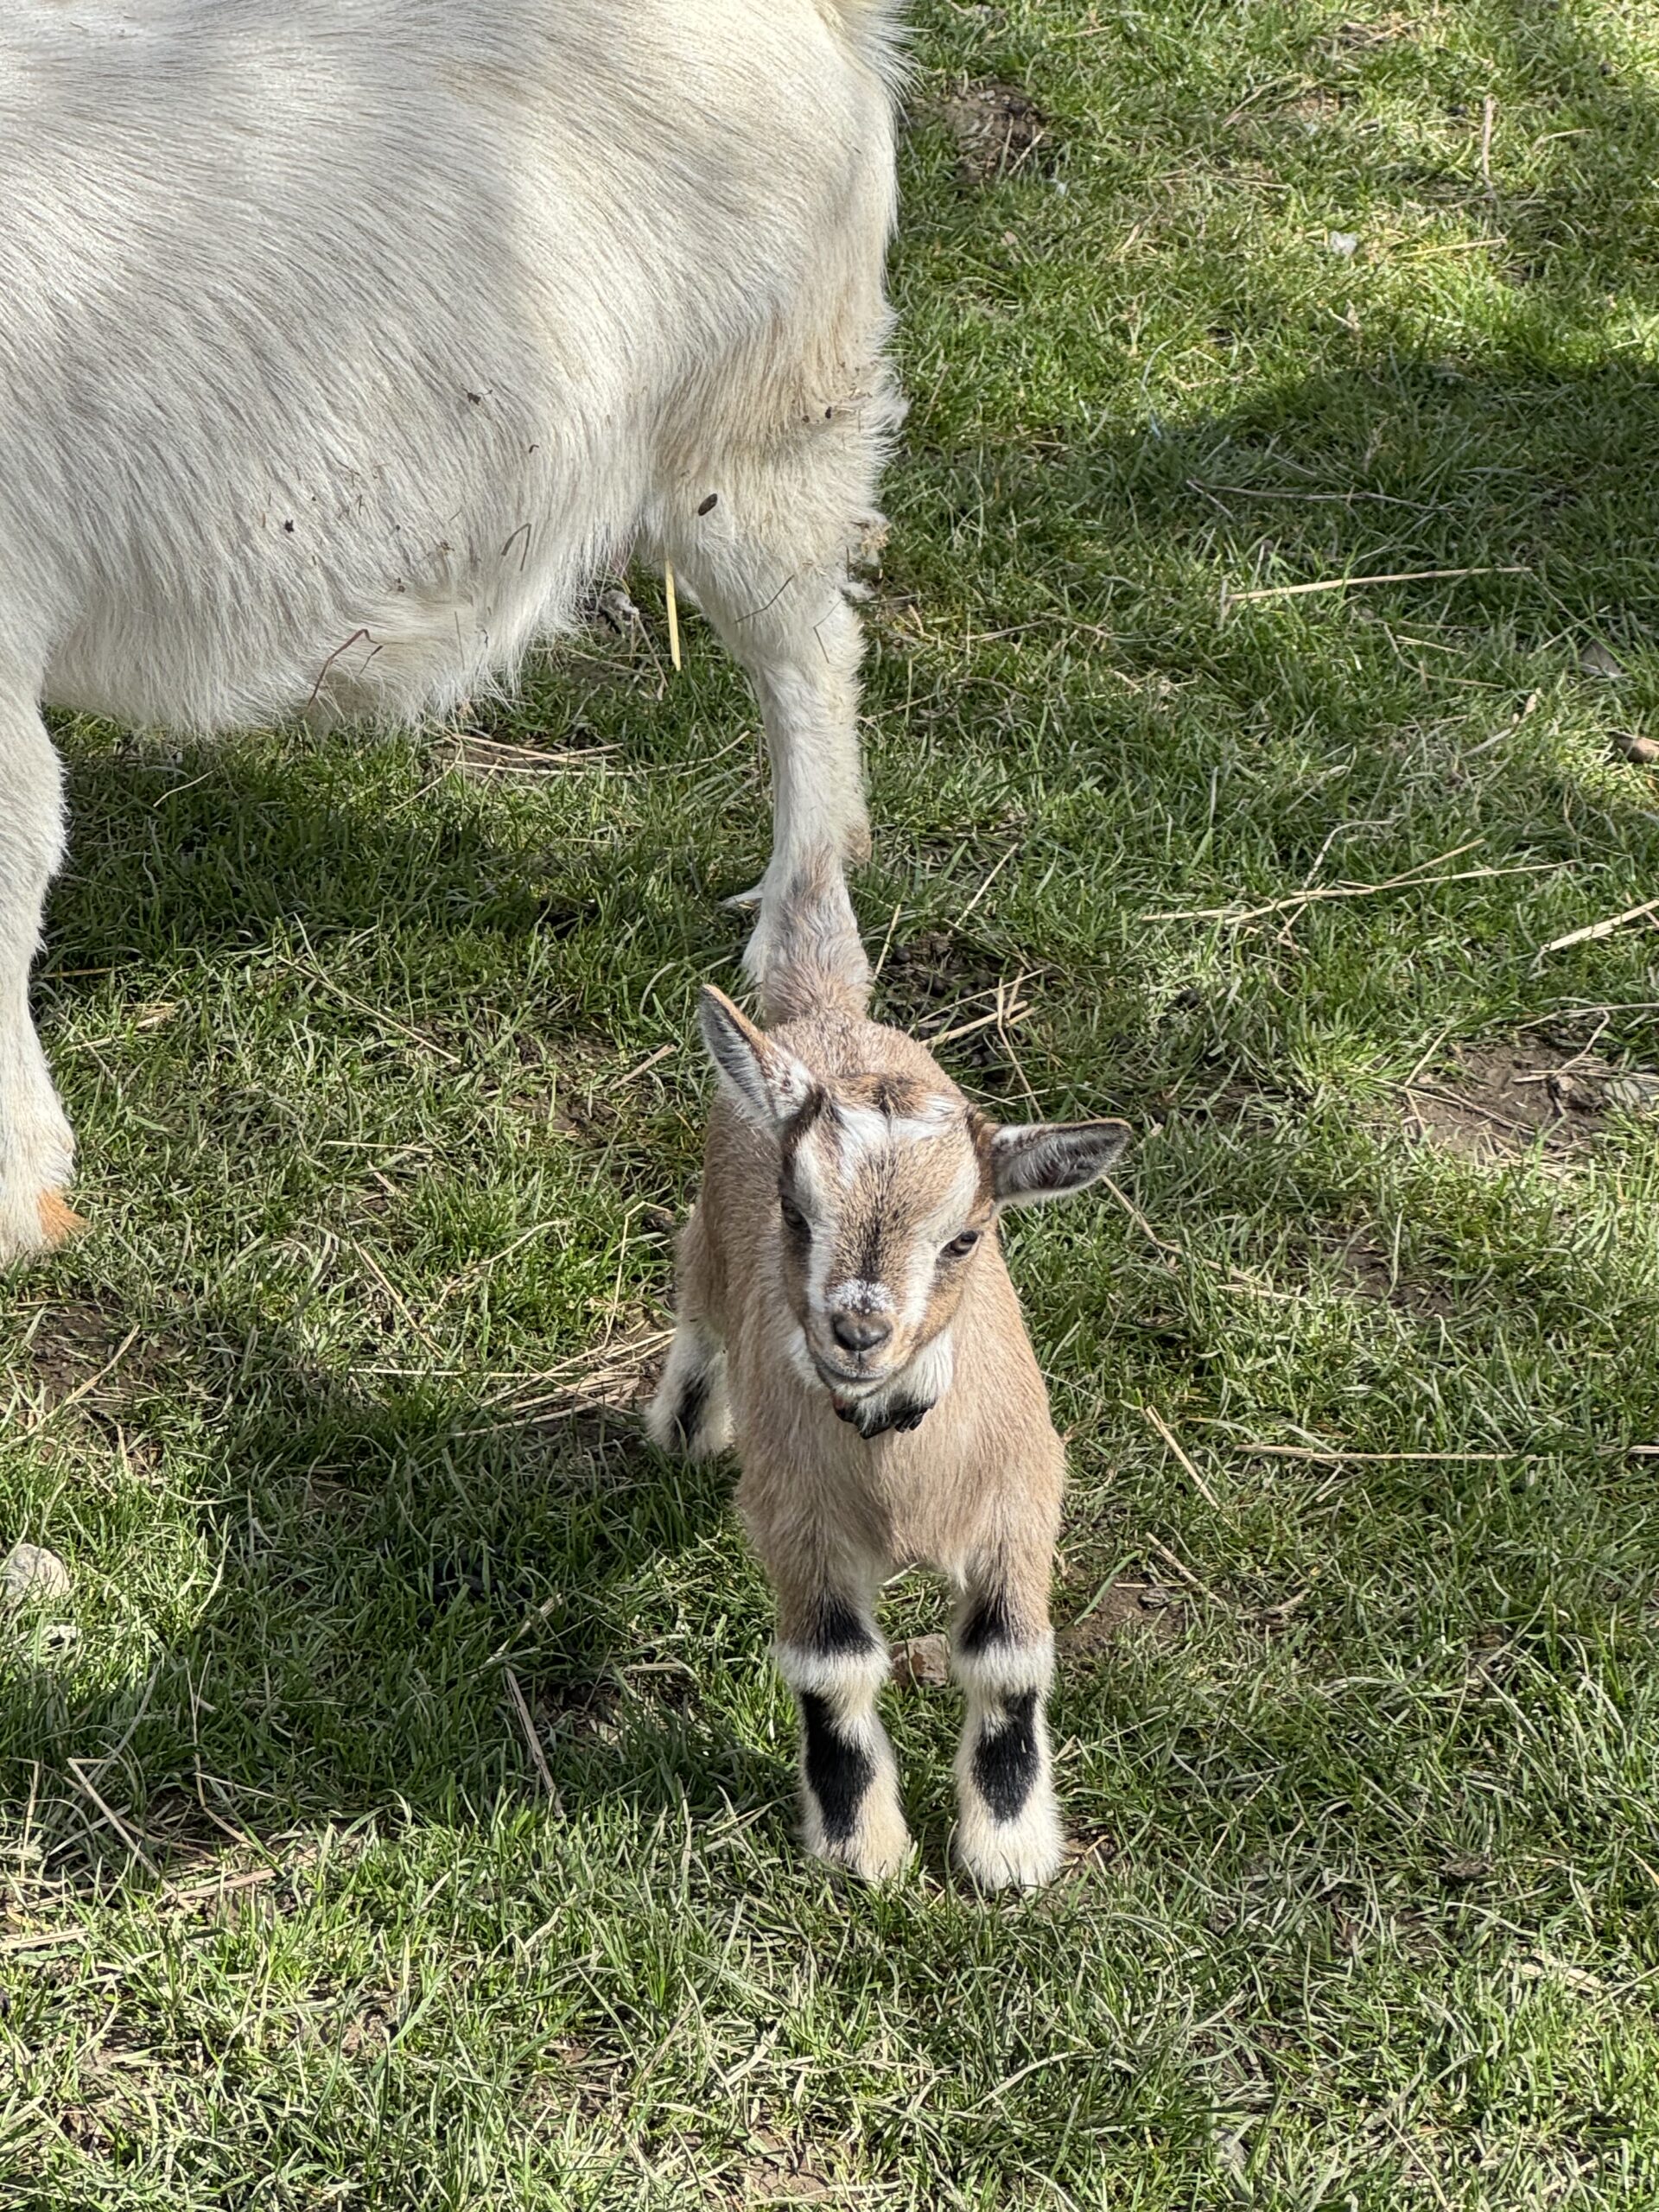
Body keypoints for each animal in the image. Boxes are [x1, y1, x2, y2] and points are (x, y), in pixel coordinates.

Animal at [647, 858, 1131, 1888]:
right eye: (795, 1211)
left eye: (966, 1239)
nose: (857, 1329)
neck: (898, 1466)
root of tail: (828, 1017)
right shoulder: (796, 1520)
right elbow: (831, 1672)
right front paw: (859, 1849)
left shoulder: (1021, 1498)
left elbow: (1007, 1662)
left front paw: (1008, 1853)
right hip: (710, 1243)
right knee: (699, 1299)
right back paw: (687, 1423)